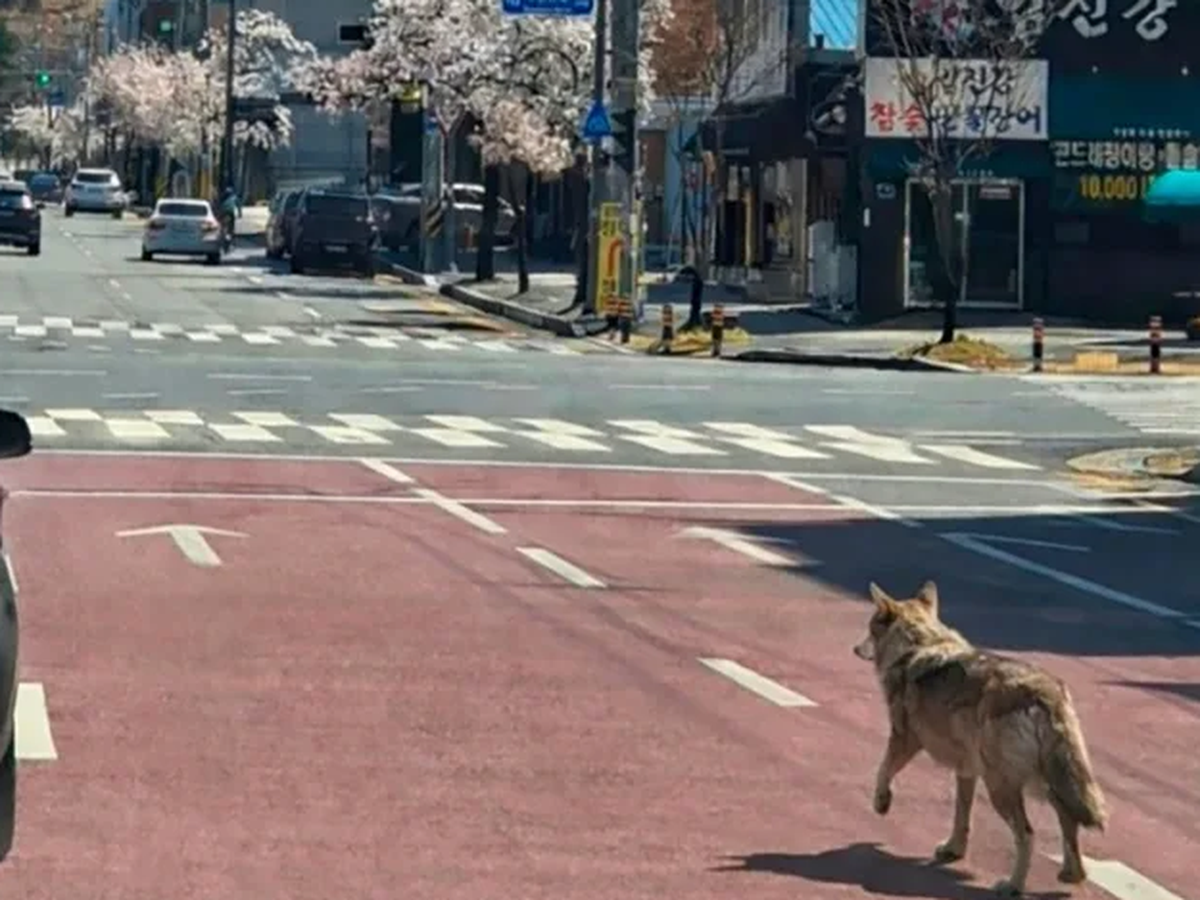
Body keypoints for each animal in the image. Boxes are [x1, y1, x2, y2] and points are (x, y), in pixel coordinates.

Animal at [853, 580, 1107, 896]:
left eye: (869, 627)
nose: (854, 649)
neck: (918, 644)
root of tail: (1045, 693)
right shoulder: (966, 770)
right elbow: (962, 815)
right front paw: (954, 850)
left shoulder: (904, 739)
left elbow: (883, 770)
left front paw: (881, 803)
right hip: (1043, 781)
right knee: (1068, 819)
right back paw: (1072, 874)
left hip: (1001, 787)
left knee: (1027, 835)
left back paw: (1013, 886)